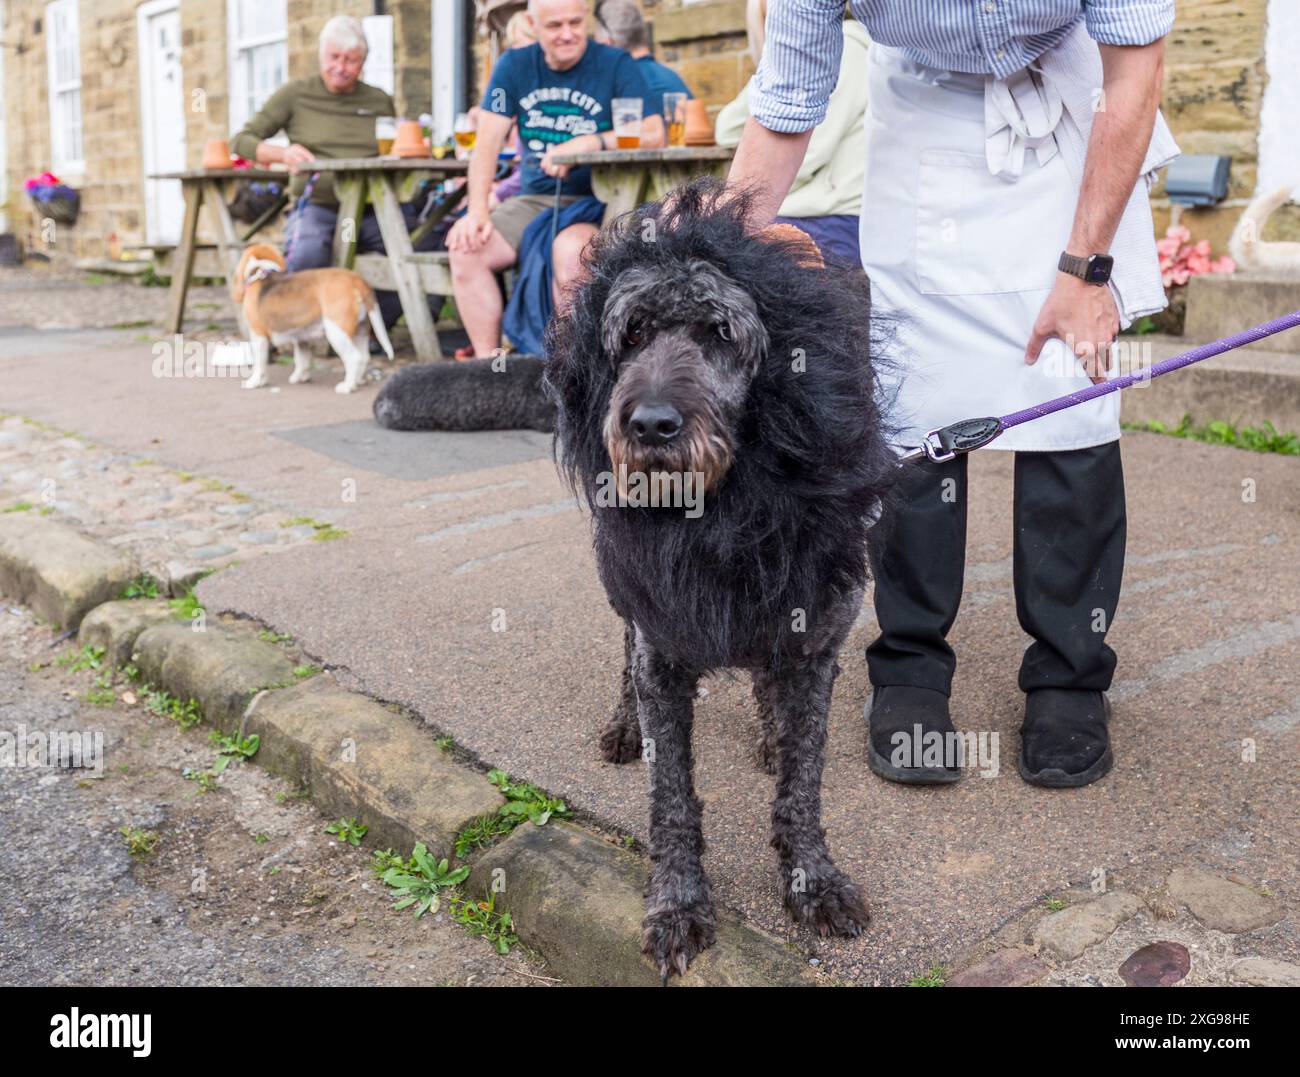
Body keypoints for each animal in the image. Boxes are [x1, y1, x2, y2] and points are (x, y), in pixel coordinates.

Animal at [233, 241, 392, 392]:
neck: (260, 272)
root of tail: (355, 278)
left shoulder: (258, 334)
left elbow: (259, 362)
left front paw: (255, 382)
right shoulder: (301, 337)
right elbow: (301, 359)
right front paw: (300, 377)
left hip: (336, 331)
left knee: (354, 358)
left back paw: (347, 386)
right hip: (361, 330)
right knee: (364, 357)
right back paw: (357, 382)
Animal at [543, 178, 899, 983]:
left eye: (719, 334)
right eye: (632, 335)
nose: (649, 425)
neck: (728, 514)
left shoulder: (815, 639)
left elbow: (802, 783)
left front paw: (812, 880)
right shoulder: (662, 643)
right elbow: (671, 795)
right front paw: (677, 904)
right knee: (624, 652)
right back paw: (624, 726)